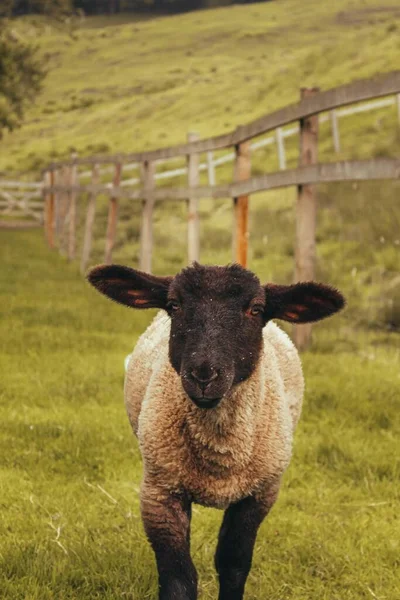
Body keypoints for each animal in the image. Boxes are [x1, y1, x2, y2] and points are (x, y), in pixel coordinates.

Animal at [87, 262, 344, 600]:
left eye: (256, 309)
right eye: (174, 305)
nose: (204, 375)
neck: (220, 455)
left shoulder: (258, 495)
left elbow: (233, 565)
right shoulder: (160, 494)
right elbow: (178, 578)